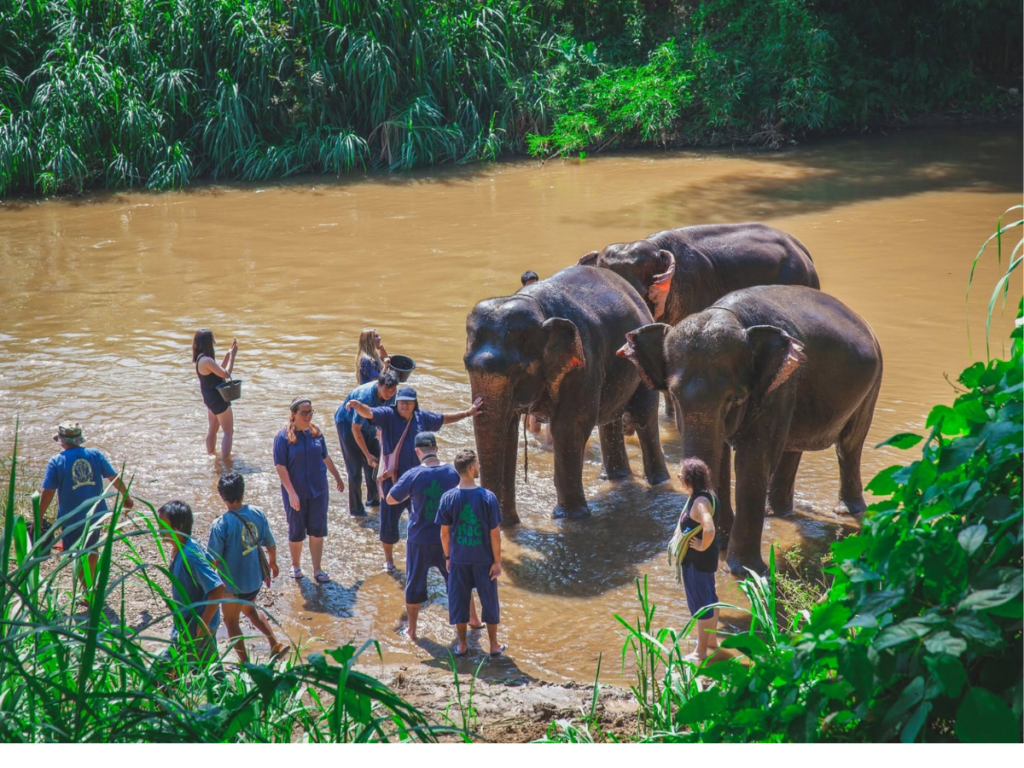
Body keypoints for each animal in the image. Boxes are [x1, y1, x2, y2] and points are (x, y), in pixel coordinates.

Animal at [465, 265, 670, 524]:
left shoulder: (583, 362)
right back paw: (616, 479)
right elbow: (507, 432)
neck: (537, 308)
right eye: (466, 365)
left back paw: (659, 482)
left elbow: (569, 426)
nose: (498, 522)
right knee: (610, 419)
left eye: (517, 369)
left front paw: (571, 518)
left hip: (641, 363)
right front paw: (509, 525)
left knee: (644, 416)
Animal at [618, 284, 882, 575]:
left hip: (872, 384)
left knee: (850, 444)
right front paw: (718, 546)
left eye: (734, 400)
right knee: (793, 447)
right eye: (674, 396)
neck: (730, 315)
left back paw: (847, 511)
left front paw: (742, 570)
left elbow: (753, 459)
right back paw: (777, 513)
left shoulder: (778, 386)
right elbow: (722, 456)